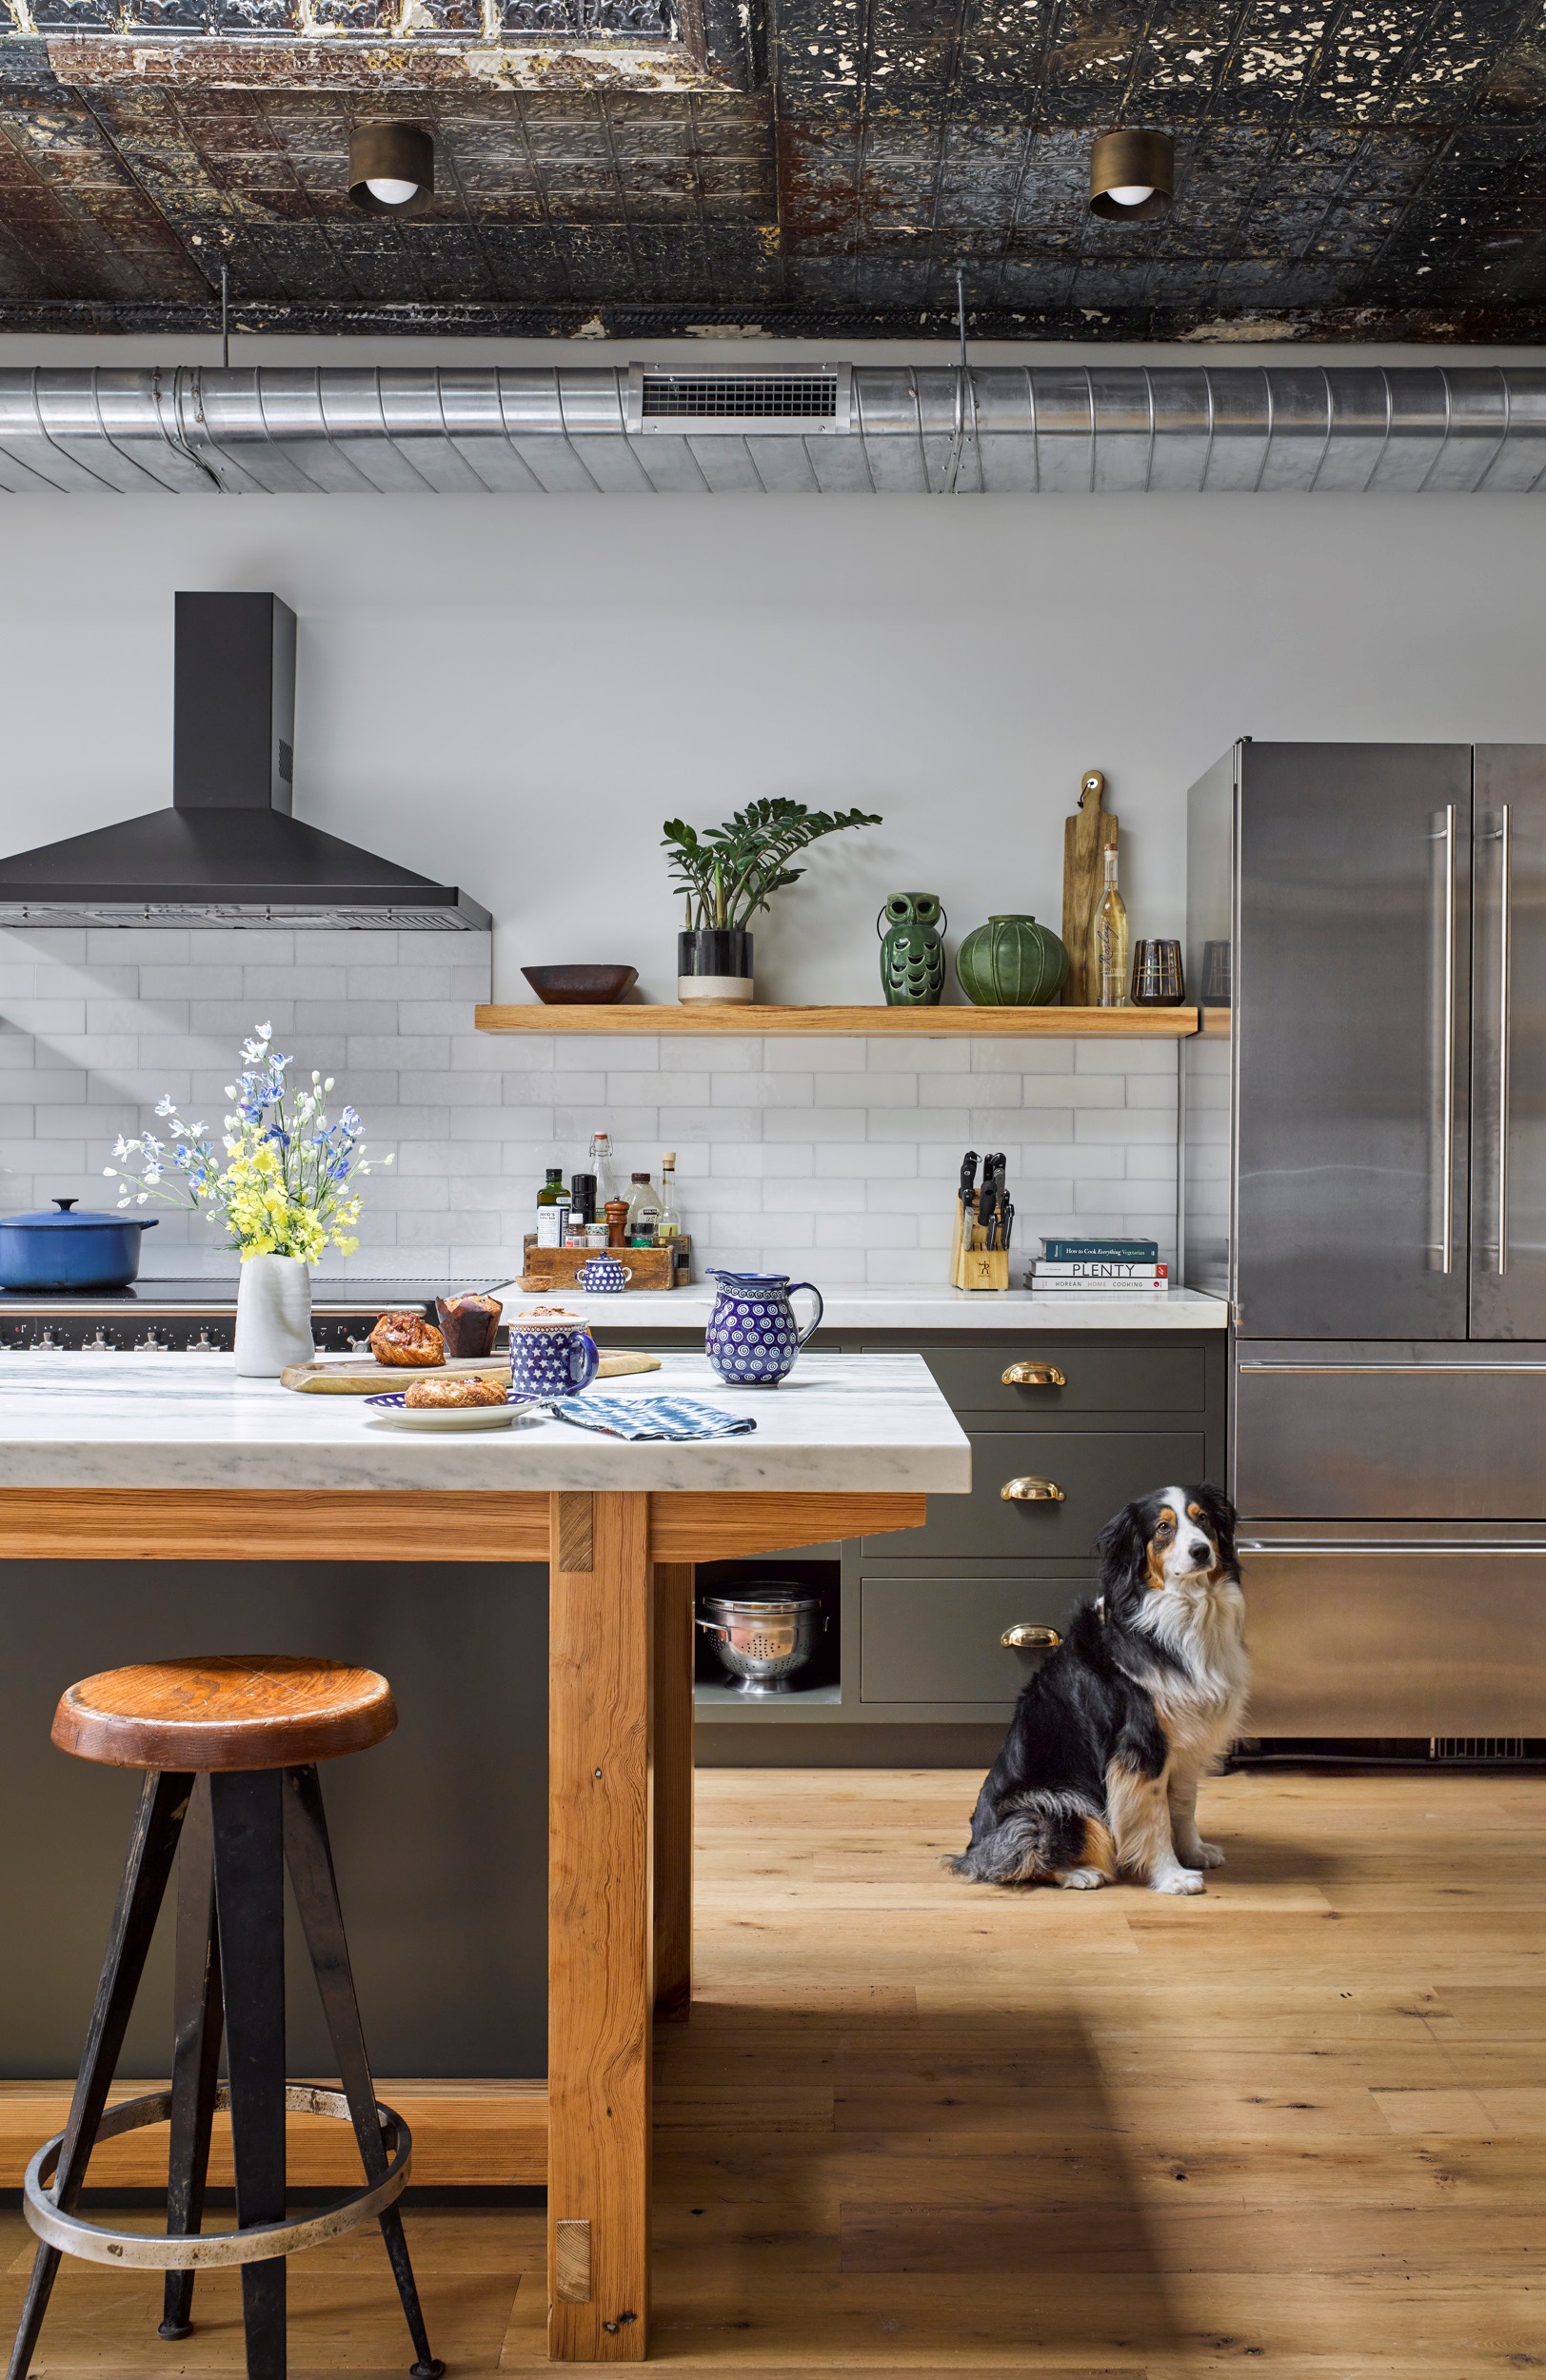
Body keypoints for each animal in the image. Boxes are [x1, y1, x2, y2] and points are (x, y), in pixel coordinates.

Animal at [946, 1485, 1246, 1894]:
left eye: (1203, 1519)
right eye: (1163, 1528)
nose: (1201, 1551)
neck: (1184, 1609)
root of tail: (975, 1848)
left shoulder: (1187, 1738)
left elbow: (1184, 1804)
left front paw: (1194, 1852)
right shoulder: (1140, 1744)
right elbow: (1154, 1817)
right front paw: (1172, 1875)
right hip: (1056, 1801)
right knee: (1021, 1854)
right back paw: (1078, 1873)